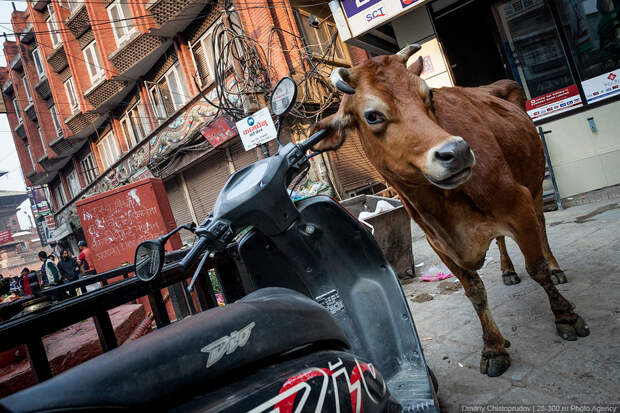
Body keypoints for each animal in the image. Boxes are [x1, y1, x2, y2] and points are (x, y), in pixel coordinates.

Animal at [318, 45, 588, 376]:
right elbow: (474, 291)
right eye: (372, 115)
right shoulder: (439, 243)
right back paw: (507, 270)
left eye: (429, 95)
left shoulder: (518, 203)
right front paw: (493, 347)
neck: (442, 207)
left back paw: (555, 267)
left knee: (542, 225)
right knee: (501, 240)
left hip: (535, 184)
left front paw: (565, 317)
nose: (457, 152)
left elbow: (536, 268)